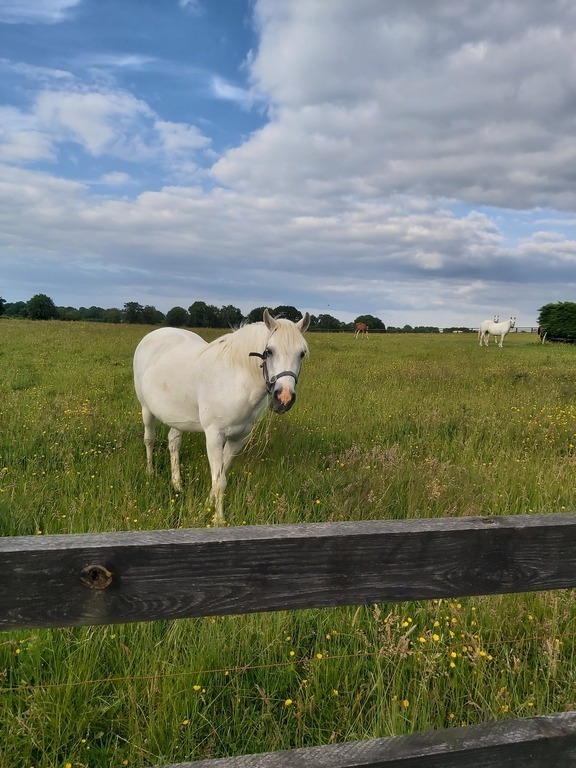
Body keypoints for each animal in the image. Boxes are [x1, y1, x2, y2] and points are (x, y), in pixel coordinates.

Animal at [133, 308, 310, 525]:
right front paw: (218, 520)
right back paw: (150, 473)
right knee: (149, 439)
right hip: (146, 408)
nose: (284, 398)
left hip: (177, 417)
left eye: (302, 353)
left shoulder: (238, 439)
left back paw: (177, 485)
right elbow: (219, 481)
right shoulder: (214, 436)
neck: (235, 381)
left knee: (173, 443)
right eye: (269, 351)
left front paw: (207, 505)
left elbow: (221, 474)